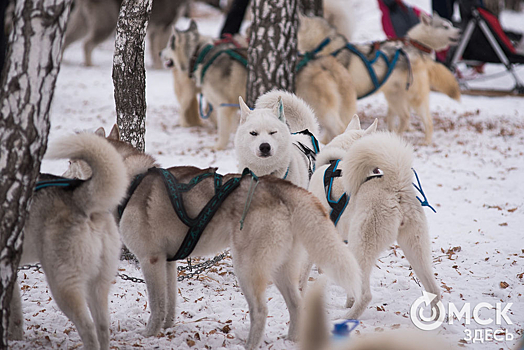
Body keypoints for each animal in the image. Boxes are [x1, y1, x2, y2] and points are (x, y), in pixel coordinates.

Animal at [8, 132, 128, 350]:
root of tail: (80, 196)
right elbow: (15, 312)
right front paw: (15, 338)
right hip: (97, 282)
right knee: (103, 327)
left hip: (62, 285)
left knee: (88, 328)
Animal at [84, 124, 362, 348]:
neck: (133, 181)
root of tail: (282, 188)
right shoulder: (168, 262)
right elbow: (170, 302)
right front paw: (167, 328)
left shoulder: (149, 260)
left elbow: (156, 304)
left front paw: (150, 335)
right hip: (280, 268)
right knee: (296, 305)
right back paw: (291, 340)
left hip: (247, 267)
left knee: (261, 310)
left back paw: (250, 345)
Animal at [160, 19, 356, 148]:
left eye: (168, 45)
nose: (161, 53)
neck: (200, 54)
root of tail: (326, 61)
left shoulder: (224, 106)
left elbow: (222, 131)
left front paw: (217, 147)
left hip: (321, 108)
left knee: (339, 127)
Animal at [296, 12, 460, 144]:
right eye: (446, 26)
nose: (459, 31)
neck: (327, 47)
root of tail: (412, 50)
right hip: (394, 97)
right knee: (403, 117)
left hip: (413, 98)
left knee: (425, 120)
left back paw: (424, 140)